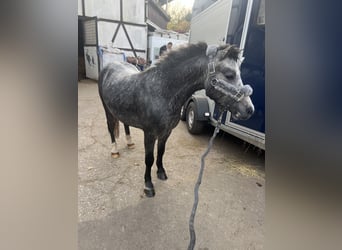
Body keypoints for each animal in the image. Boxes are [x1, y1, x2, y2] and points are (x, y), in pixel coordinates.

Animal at [98, 42, 254, 197]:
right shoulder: (149, 134)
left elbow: (161, 152)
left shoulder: (166, 132)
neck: (162, 91)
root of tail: (110, 65)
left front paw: (161, 172)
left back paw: (130, 143)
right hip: (107, 109)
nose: (249, 109)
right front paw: (148, 186)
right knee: (110, 128)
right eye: (229, 74)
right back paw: (114, 151)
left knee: (125, 124)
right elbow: (149, 159)